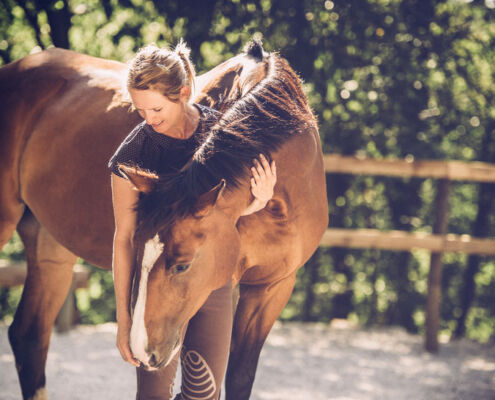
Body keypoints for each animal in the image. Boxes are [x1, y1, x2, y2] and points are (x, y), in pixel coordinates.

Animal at [0, 41, 330, 400]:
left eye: (182, 265)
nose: (143, 351)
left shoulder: (273, 287)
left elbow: (239, 377)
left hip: (51, 248)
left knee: (29, 335)